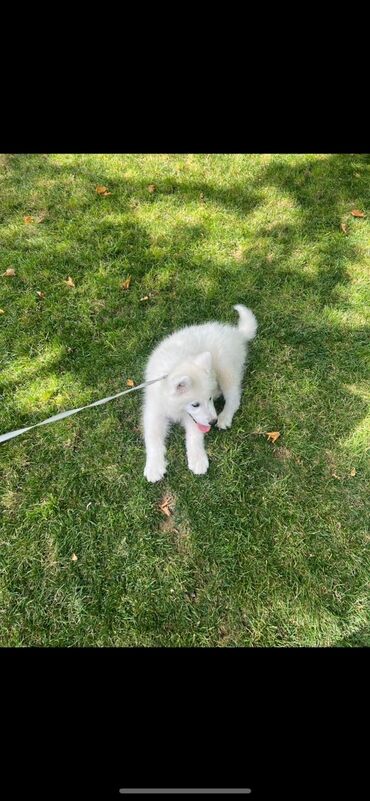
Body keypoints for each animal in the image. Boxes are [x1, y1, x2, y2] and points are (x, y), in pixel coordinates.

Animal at [142, 304, 258, 482]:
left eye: (208, 399)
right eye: (195, 404)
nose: (212, 421)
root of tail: (235, 333)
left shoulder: (195, 419)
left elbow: (195, 437)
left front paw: (197, 459)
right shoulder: (154, 411)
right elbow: (153, 440)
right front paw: (154, 466)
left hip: (226, 368)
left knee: (234, 397)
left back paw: (225, 417)